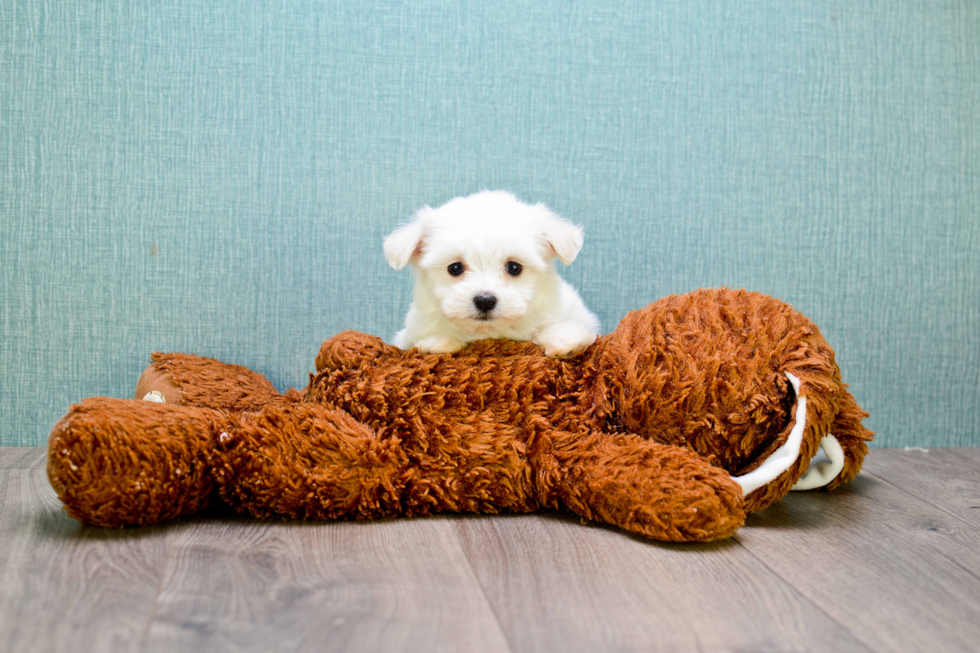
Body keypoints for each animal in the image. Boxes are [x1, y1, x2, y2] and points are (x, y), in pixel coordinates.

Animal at [382, 190, 596, 356]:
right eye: (455, 268)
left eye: (514, 268)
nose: (485, 300)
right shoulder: (408, 335)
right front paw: (438, 341)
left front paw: (563, 339)